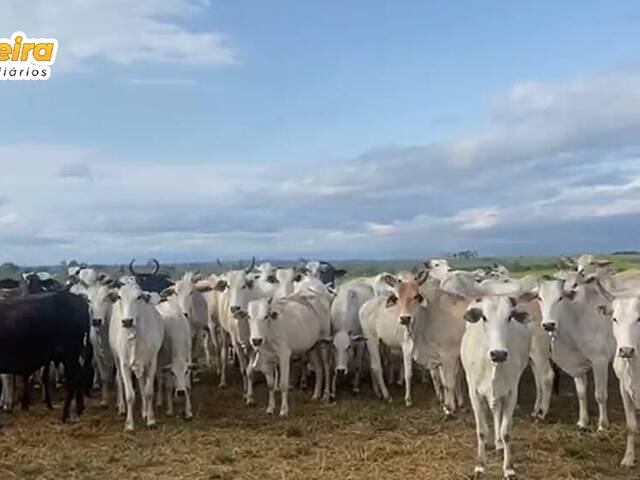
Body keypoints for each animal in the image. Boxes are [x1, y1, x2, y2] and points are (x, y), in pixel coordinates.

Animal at [0, 288, 90, 420]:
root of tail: (79, 300)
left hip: (70, 352)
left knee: (74, 378)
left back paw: (65, 414)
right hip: (69, 354)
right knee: (80, 375)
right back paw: (78, 409)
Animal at [109, 282, 165, 432]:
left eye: (139, 297)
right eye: (119, 296)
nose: (127, 321)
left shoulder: (151, 362)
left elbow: (148, 391)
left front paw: (151, 419)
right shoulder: (124, 364)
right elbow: (130, 395)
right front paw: (129, 424)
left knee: (141, 383)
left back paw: (145, 411)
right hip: (116, 359)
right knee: (118, 380)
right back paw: (122, 407)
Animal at [462, 296, 532, 480]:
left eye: (509, 317)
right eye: (484, 317)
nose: (499, 354)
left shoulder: (511, 392)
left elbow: (506, 431)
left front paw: (509, 468)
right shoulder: (474, 393)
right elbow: (481, 431)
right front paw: (479, 466)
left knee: (497, 414)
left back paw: (499, 443)